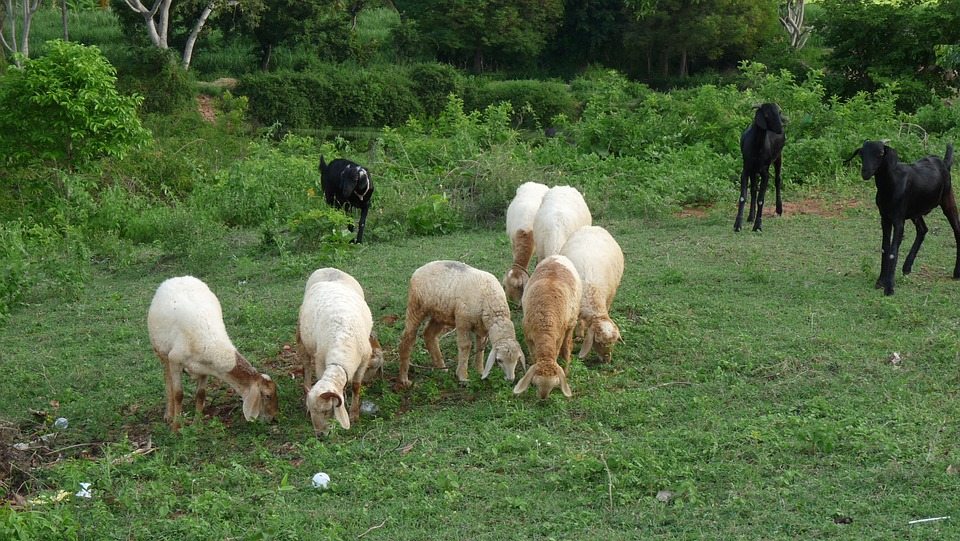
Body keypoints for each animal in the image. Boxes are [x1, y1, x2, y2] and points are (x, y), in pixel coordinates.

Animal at [734, 103, 786, 232]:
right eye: (766, 114)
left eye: (779, 112)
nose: (780, 128)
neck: (757, 146)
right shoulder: (746, 169)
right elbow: (743, 197)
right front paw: (738, 225)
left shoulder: (764, 172)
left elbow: (761, 199)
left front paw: (758, 225)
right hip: (754, 170)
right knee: (753, 189)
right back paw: (750, 216)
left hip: (778, 156)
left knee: (777, 180)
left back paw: (778, 210)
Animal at [845, 140, 960, 295]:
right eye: (861, 153)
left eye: (881, 153)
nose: (865, 172)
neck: (890, 185)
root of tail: (944, 162)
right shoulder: (885, 218)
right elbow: (885, 248)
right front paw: (881, 281)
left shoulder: (898, 220)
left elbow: (893, 252)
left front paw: (889, 288)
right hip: (914, 211)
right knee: (923, 229)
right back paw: (907, 267)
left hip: (947, 199)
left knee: (956, 230)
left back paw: (956, 273)